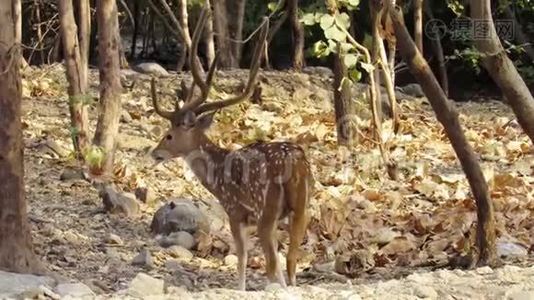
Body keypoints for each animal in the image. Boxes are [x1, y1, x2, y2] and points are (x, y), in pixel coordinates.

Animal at [151, 8, 314, 290]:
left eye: (169, 135)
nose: (155, 153)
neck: (216, 178)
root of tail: (296, 163)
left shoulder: (235, 211)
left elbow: (242, 260)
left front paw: (240, 288)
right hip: (302, 208)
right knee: (291, 262)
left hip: (266, 208)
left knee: (274, 264)